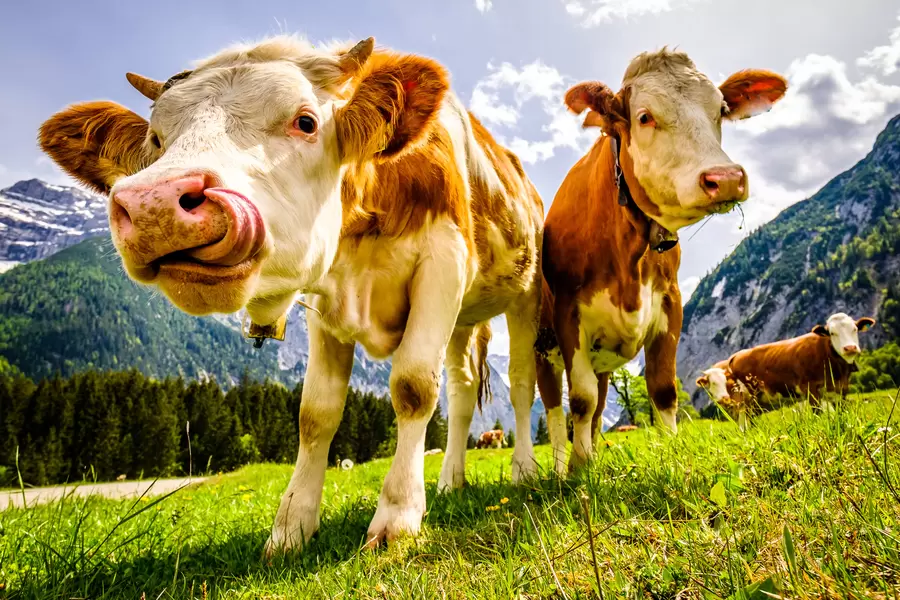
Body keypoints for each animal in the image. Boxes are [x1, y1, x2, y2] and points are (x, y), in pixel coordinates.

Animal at [37, 36, 544, 554]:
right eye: (156, 141)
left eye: (306, 122)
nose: (154, 204)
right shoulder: (326, 301)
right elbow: (315, 413)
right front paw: (291, 527)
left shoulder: (444, 263)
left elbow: (413, 387)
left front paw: (397, 518)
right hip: (464, 322)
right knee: (462, 392)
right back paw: (450, 480)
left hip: (526, 295)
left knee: (522, 383)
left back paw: (524, 469)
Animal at [534, 48, 787, 475]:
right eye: (644, 117)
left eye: (721, 110)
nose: (726, 178)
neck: (627, 254)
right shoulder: (569, 316)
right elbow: (580, 399)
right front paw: (578, 470)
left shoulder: (671, 303)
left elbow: (663, 390)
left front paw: (671, 454)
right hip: (540, 347)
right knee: (555, 410)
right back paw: (559, 467)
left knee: (599, 408)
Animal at [702, 313, 876, 426]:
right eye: (832, 333)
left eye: (855, 329)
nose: (850, 348)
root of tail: (736, 355)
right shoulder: (810, 389)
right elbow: (818, 413)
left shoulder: (841, 390)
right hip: (748, 401)